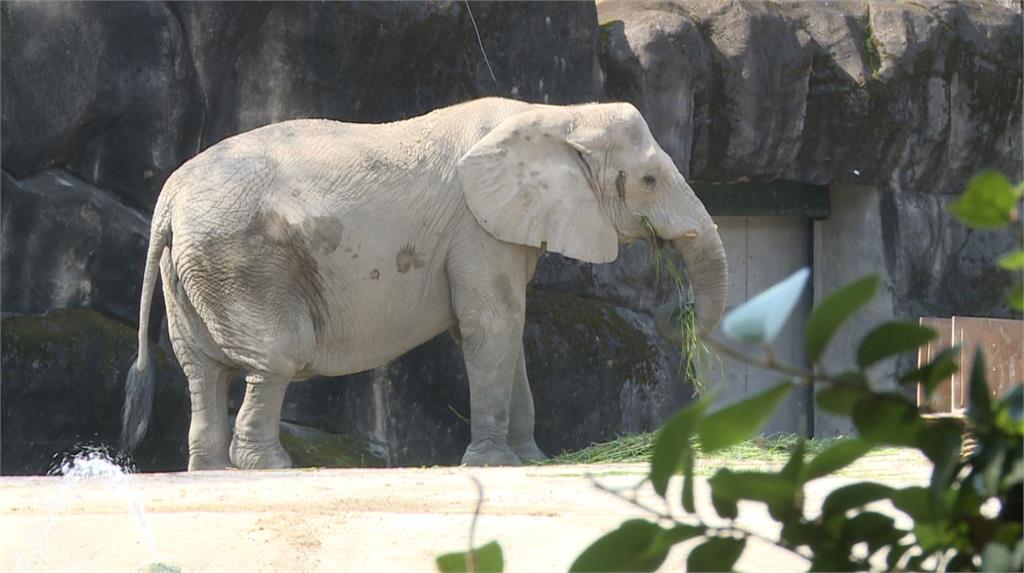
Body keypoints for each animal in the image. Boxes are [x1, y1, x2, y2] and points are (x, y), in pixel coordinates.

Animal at [119, 95, 729, 470]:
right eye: (648, 180)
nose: (675, 315)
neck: (556, 115)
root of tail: (167, 202)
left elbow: (507, 331)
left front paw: (531, 461)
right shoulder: (476, 227)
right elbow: (492, 326)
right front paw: (495, 464)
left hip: (193, 268)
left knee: (201, 368)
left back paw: (210, 469)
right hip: (242, 262)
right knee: (275, 359)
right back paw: (271, 467)